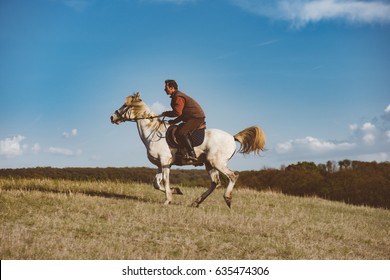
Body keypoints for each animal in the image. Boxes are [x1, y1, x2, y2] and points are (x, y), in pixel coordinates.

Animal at [111, 93, 266, 207]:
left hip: (217, 162)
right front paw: (176, 191)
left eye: (125, 105)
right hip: (209, 164)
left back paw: (227, 198)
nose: (112, 117)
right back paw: (196, 202)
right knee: (215, 182)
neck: (153, 133)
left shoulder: (165, 161)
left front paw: (168, 199)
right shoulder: (160, 164)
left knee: (232, 176)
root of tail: (232, 138)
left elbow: (165, 181)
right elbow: (156, 183)